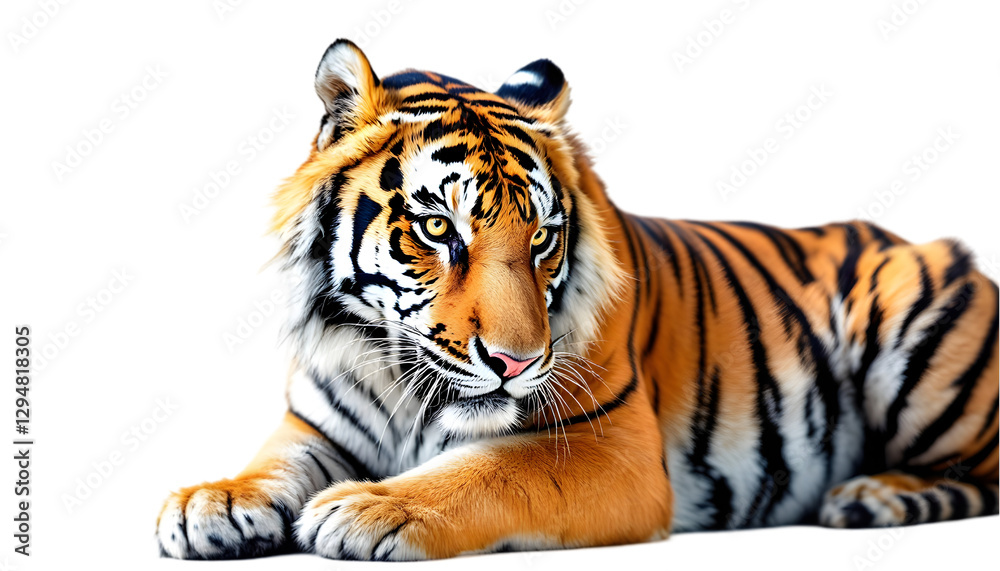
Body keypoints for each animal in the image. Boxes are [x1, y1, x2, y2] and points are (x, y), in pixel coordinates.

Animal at [156, 39, 999, 560]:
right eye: (438, 227)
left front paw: (370, 507)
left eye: (542, 236)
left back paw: (872, 496)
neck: (397, 375)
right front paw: (211, 502)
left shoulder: (612, 448)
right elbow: (270, 463)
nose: (516, 361)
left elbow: (489, 470)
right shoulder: (314, 423)